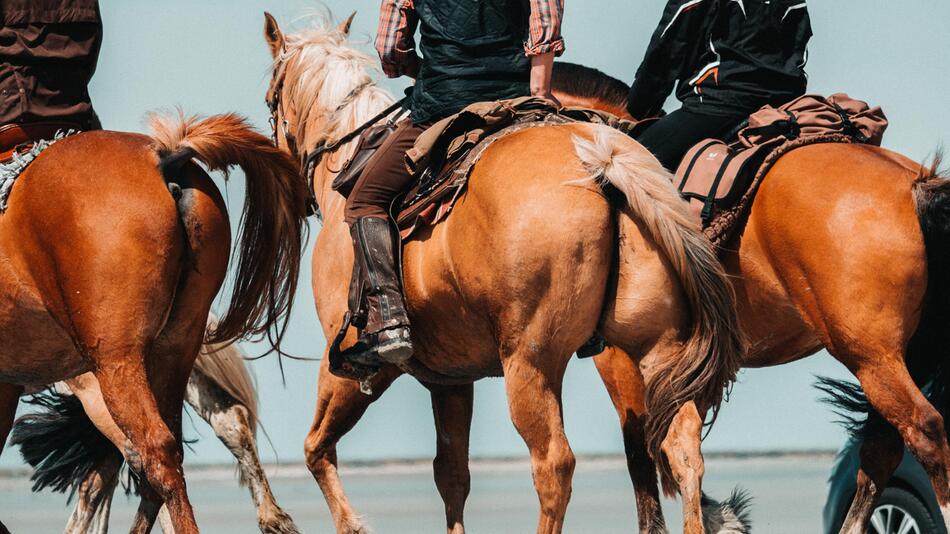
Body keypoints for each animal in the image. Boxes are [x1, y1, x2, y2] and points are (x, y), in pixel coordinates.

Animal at [264, 12, 748, 534]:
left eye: (270, 100)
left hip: (531, 363)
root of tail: (602, 163)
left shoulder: (350, 365)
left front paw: (351, 524)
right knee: (682, 448)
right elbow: (452, 476)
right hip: (657, 348)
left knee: (554, 463)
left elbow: (316, 449)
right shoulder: (450, 381)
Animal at [552, 65, 950, 532]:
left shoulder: (621, 359)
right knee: (882, 448)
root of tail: (916, 185)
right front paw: (722, 516)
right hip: (905, 352)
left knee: (924, 430)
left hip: (870, 354)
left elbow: (644, 454)